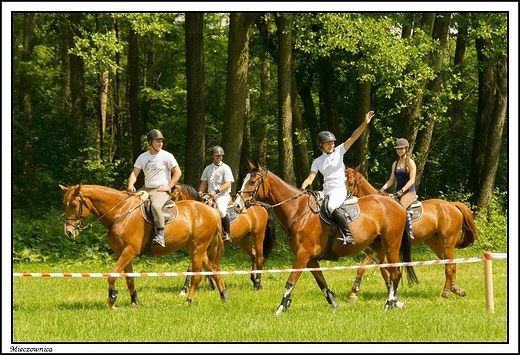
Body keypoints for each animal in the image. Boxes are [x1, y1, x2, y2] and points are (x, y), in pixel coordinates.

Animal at [59, 185, 230, 310]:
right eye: (65, 204)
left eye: (74, 205)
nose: (69, 232)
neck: (120, 212)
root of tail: (212, 210)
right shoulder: (121, 253)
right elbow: (129, 279)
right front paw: (134, 302)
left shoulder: (129, 251)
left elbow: (112, 275)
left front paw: (112, 299)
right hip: (194, 248)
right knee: (213, 269)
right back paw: (224, 296)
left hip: (197, 249)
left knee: (197, 276)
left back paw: (188, 301)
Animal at [236, 160, 418, 316]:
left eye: (252, 182)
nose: (237, 205)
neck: (298, 210)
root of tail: (397, 205)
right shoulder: (310, 259)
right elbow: (322, 283)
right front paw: (333, 304)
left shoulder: (302, 255)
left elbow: (290, 282)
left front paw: (281, 308)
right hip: (376, 249)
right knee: (388, 273)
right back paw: (395, 302)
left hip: (391, 245)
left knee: (395, 273)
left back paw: (389, 304)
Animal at [344, 167, 478, 300]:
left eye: (351, 183)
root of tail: (452, 204)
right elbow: (378, 268)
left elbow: (368, 267)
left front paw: (354, 292)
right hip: (435, 243)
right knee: (451, 264)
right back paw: (456, 289)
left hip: (447, 242)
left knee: (449, 266)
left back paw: (445, 293)